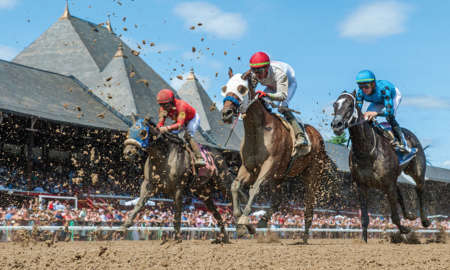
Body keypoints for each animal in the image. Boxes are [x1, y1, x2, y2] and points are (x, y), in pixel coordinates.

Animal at [119, 115, 232, 243]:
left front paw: (177, 237)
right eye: (129, 131)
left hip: (223, 183)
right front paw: (125, 225)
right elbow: (140, 203)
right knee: (216, 212)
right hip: (203, 192)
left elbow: (177, 211)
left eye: (142, 132)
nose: (128, 152)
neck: (164, 156)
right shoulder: (149, 184)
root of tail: (219, 154)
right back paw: (224, 237)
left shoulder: (178, 187)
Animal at [220, 69, 332, 243]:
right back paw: (261, 221)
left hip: (312, 174)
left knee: (308, 205)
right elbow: (235, 185)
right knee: (278, 200)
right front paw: (243, 225)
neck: (258, 130)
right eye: (225, 88)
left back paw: (304, 237)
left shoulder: (269, 164)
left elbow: (255, 189)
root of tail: (317, 135)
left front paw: (244, 220)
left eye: (241, 88)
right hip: (279, 177)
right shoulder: (248, 168)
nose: (226, 113)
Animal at [330, 92, 428, 242]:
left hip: (417, 170)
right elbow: (364, 218)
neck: (367, 151)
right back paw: (410, 216)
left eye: (350, 105)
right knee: (400, 194)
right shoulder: (362, 186)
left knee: (419, 189)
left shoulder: (388, 184)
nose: (336, 124)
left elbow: (394, 217)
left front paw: (405, 229)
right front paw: (363, 241)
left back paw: (424, 220)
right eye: (335, 104)